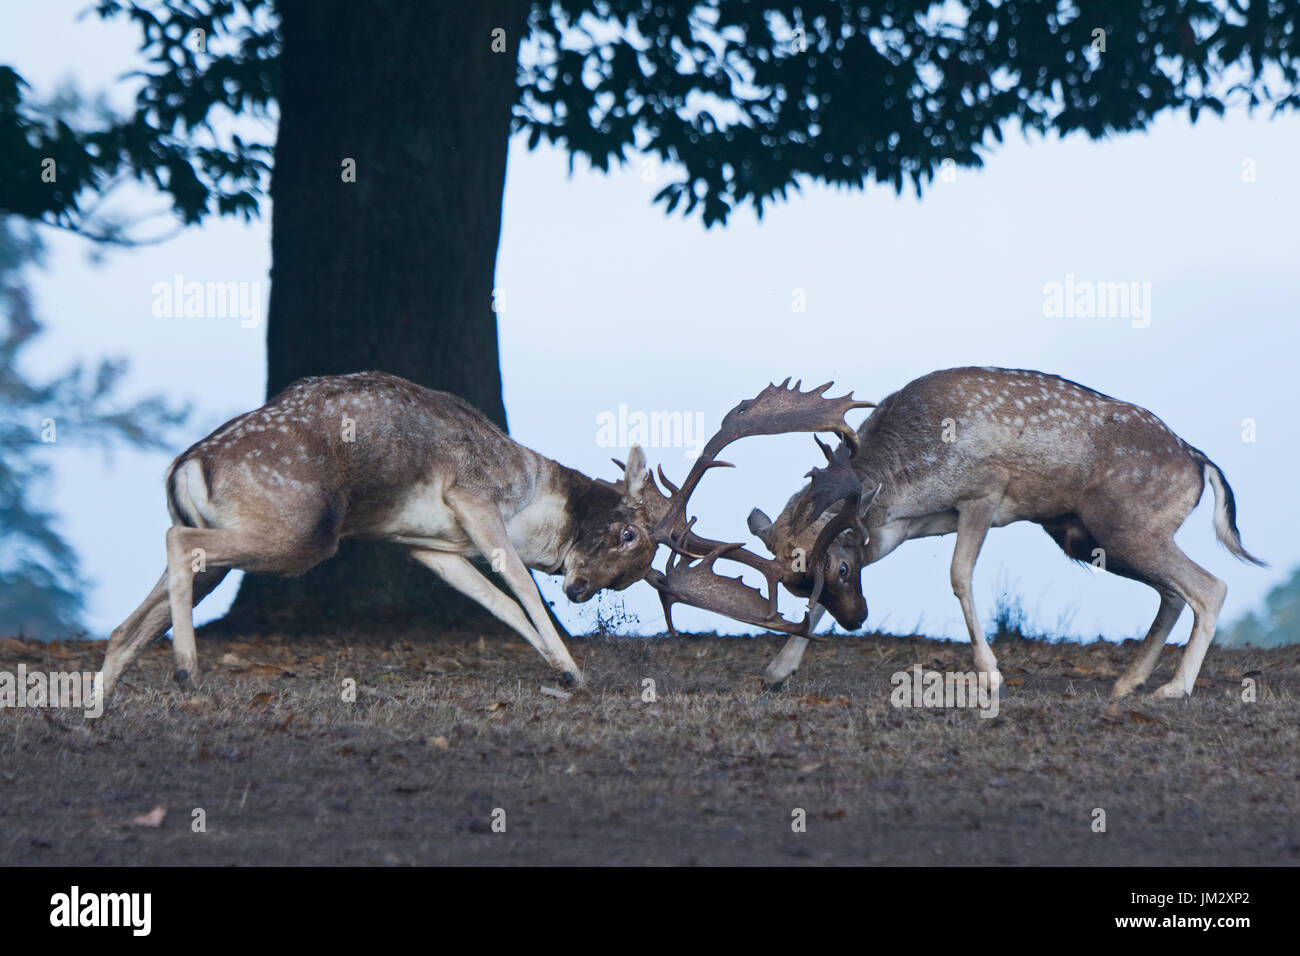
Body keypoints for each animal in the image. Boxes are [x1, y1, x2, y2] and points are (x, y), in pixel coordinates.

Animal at [748, 366, 1263, 702]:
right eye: (797, 586)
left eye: (840, 567)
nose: (858, 620)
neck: (905, 482)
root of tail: (1200, 462)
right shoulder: (899, 527)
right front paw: (776, 671)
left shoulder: (984, 492)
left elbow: (959, 575)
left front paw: (991, 675)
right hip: (1091, 538)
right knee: (1173, 593)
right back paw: (1128, 683)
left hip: (1128, 526)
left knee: (1210, 587)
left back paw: (1173, 689)